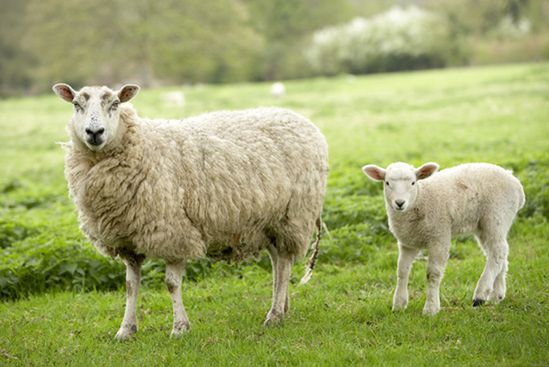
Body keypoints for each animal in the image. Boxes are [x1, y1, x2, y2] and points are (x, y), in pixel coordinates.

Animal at [51, 82, 328, 340]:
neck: (142, 145)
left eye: (115, 104)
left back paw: (275, 314)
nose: (94, 132)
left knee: (284, 263)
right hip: (267, 220)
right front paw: (126, 330)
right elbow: (130, 286)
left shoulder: (174, 232)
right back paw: (283, 307)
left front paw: (179, 327)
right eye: (76, 104)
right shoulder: (127, 239)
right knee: (278, 263)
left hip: (292, 216)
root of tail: (301, 119)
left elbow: (171, 284)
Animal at [362, 162, 524, 316]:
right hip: (484, 224)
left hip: (496, 215)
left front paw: (431, 308)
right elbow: (402, 271)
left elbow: (432, 274)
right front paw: (399, 305)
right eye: (387, 183)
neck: (420, 197)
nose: (400, 203)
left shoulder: (439, 236)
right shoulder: (408, 242)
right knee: (499, 254)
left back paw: (480, 294)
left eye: (413, 183)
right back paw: (497, 295)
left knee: (497, 252)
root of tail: (515, 182)